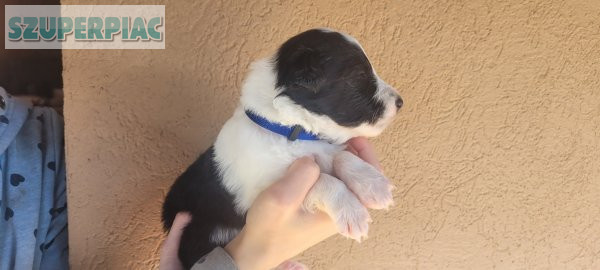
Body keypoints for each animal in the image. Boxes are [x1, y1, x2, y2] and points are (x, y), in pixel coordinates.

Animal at [163, 27, 404, 268]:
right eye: (359, 76)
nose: (400, 102)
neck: (294, 132)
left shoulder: (329, 148)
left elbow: (341, 158)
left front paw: (374, 186)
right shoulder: (258, 191)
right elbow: (321, 179)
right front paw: (352, 212)